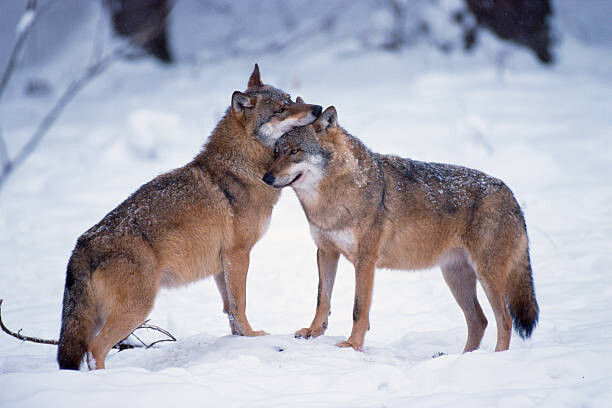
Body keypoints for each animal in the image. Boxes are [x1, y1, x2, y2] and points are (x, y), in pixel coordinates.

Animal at [57, 64, 322, 370]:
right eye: (281, 109)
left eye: (290, 99)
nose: (317, 108)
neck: (243, 168)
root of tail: (81, 245)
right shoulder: (238, 254)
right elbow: (240, 304)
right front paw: (254, 336)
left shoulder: (222, 265)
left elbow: (230, 310)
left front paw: (239, 341)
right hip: (136, 310)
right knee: (95, 349)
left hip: (103, 316)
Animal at [262, 107, 540, 352]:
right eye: (276, 152)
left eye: (295, 151)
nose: (266, 178)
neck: (334, 199)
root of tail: (511, 195)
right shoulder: (326, 251)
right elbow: (322, 298)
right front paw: (313, 331)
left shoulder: (365, 260)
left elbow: (358, 308)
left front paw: (353, 345)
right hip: (456, 278)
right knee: (479, 321)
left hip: (487, 277)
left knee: (504, 321)